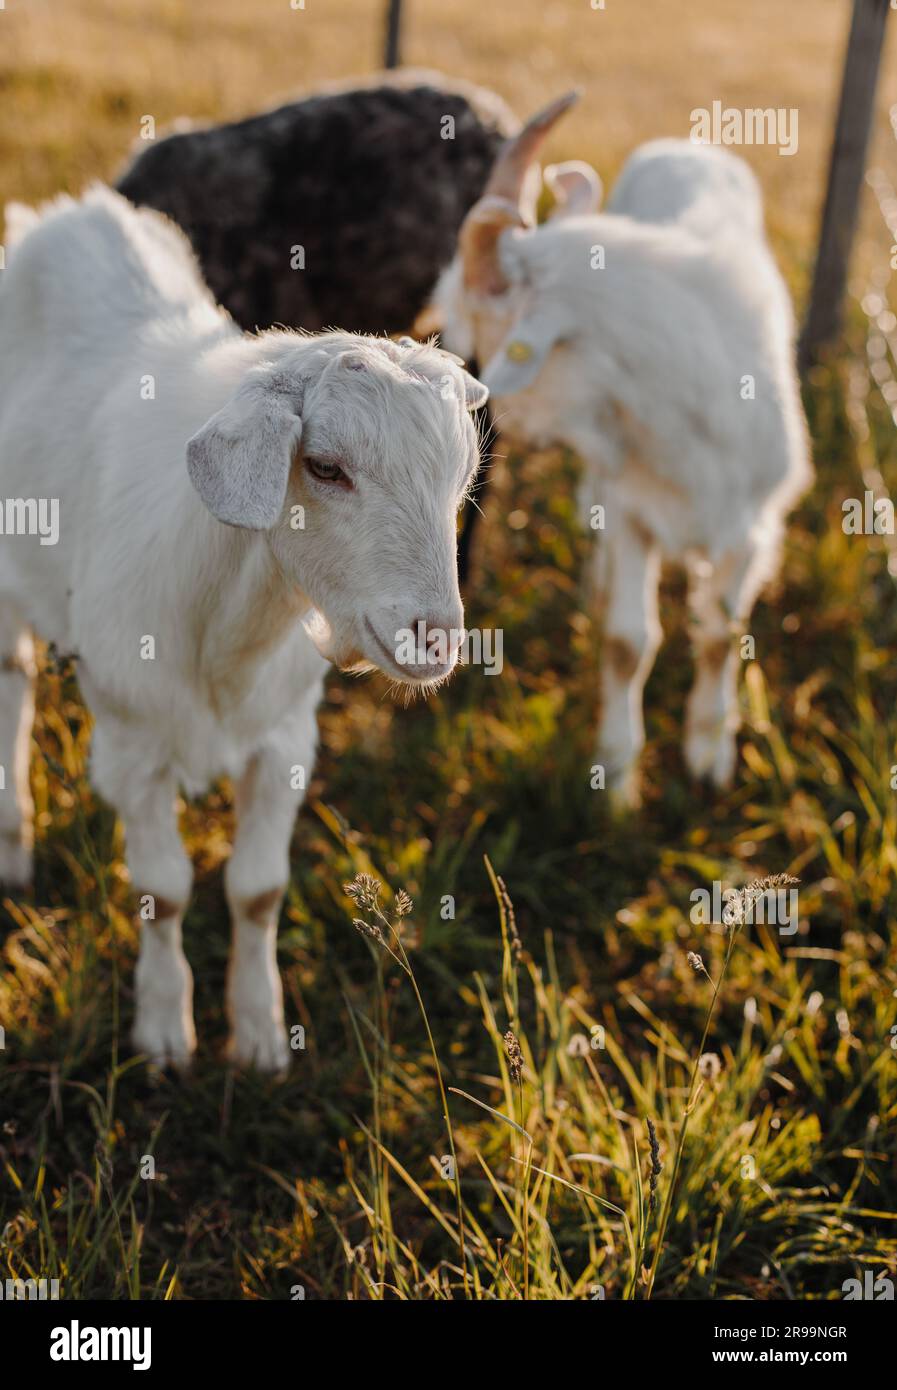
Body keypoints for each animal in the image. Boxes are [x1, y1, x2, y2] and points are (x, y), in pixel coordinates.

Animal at [0, 190, 486, 1067]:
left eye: (461, 477)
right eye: (324, 467)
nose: (432, 638)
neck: (226, 633)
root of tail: (66, 211)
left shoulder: (284, 741)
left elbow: (257, 893)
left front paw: (259, 1033)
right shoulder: (131, 744)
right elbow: (161, 890)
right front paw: (165, 1032)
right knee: (13, 681)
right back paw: (13, 841)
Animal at [433, 95, 812, 806]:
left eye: (473, 343)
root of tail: (687, 146)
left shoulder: (751, 528)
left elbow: (721, 634)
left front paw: (709, 754)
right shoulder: (633, 510)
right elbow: (626, 643)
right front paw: (616, 778)